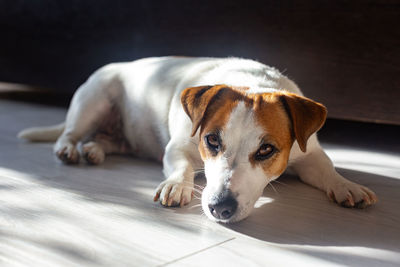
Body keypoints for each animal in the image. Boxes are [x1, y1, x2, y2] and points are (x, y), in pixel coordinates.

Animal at [18, 56, 376, 224]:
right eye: (212, 141)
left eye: (266, 150)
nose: (220, 207)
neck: (252, 81)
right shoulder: (179, 146)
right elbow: (182, 166)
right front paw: (177, 185)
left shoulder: (310, 153)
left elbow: (328, 170)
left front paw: (348, 186)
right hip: (94, 100)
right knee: (70, 132)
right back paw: (69, 148)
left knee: (107, 141)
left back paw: (93, 150)